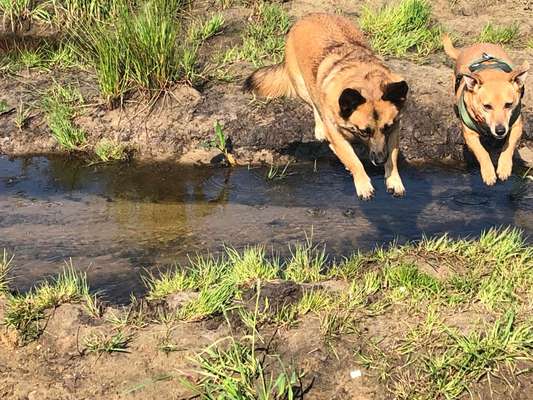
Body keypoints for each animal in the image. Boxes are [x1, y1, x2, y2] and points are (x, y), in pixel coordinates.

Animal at [243, 12, 410, 200]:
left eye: (386, 128)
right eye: (364, 132)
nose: (379, 160)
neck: (366, 83)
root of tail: (310, 15)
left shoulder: (394, 130)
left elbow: (393, 157)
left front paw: (394, 180)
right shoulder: (337, 138)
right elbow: (354, 161)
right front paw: (363, 184)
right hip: (303, 88)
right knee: (314, 104)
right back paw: (320, 128)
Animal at [440, 35, 528, 185]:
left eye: (508, 104)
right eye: (487, 106)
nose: (500, 130)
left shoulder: (517, 126)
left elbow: (509, 145)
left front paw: (504, 167)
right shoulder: (469, 136)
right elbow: (482, 152)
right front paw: (488, 173)